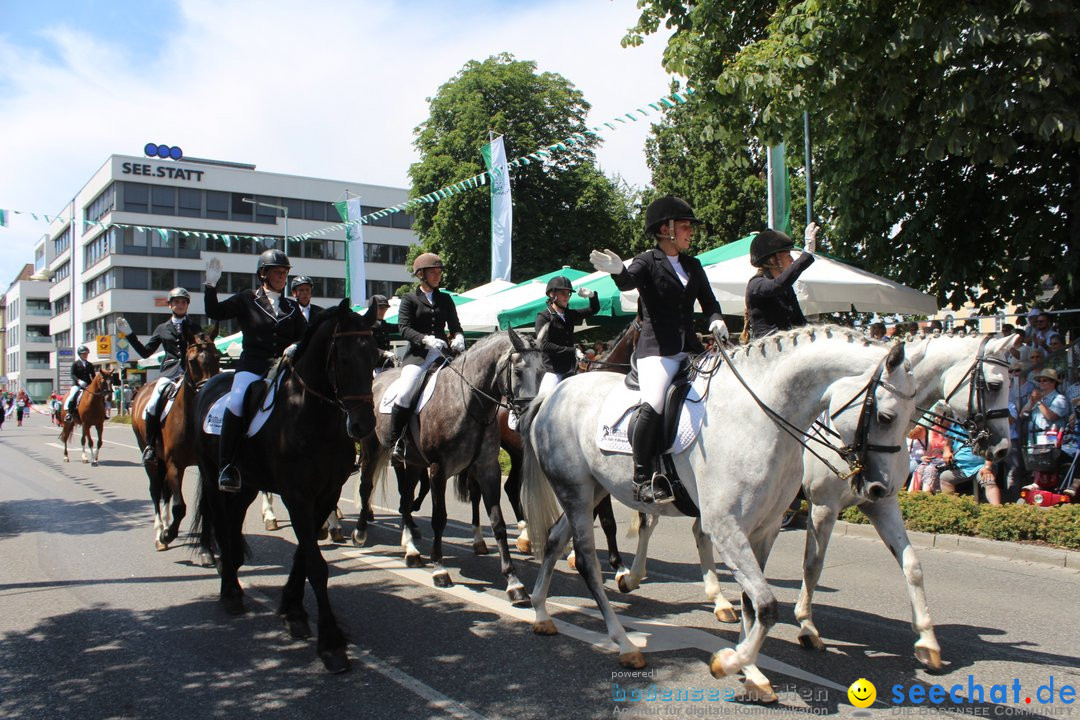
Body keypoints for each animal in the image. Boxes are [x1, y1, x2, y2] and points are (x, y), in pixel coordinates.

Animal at [131, 330, 220, 557]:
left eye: (217, 357)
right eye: (192, 361)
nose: (209, 391)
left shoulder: (204, 466)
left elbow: (205, 506)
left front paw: (205, 550)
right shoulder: (175, 465)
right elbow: (180, 506)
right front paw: (167, 534)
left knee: (165, 491)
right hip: (152, 458)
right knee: (156, 490)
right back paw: (159, 534)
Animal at [192, 297, 378, 669]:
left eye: (375, 358)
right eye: (343, 358)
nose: (363, 426)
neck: (311, 414)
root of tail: (212, 382)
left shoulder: (326, 494)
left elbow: (303, 556)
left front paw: (293, 610)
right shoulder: (297, 496)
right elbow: (316, 566)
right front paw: (331, 644)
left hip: (247, 484)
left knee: (233, 523)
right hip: (212, 475)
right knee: (221, 524)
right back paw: (230, 591)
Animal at [352, 330, 544, 604]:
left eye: (542, 371)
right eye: (517, 371)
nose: (530, 417)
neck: (468, 402)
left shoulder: (488, 469)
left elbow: (497, 523)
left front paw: (514, 583)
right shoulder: (437, 470)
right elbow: (439, 518)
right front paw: (440, 570)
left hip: (411, 463)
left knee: (405, 499)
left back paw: (411, 550)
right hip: (371, 447)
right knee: (366, 486)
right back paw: (360, 533)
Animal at [522, 330, 920, 699]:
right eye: (886, 416)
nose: (880, 489)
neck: (760, 417)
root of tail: (554, 394)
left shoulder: (765, 528)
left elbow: (751, 602)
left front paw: (753, 673)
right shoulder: (726, 526)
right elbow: (767, 605)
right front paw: (727, 662)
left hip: (592, 491)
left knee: (555, 540)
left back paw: (540, 612)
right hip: (576, 493)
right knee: (587, 563)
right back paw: (624, 643)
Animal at [794, 332, 1010, 669]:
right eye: (995, 385)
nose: (1002, 449)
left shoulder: (881, 502)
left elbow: (912, 564)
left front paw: (927, 640)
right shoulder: (823, 506)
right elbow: (812, 565)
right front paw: (806, 626)